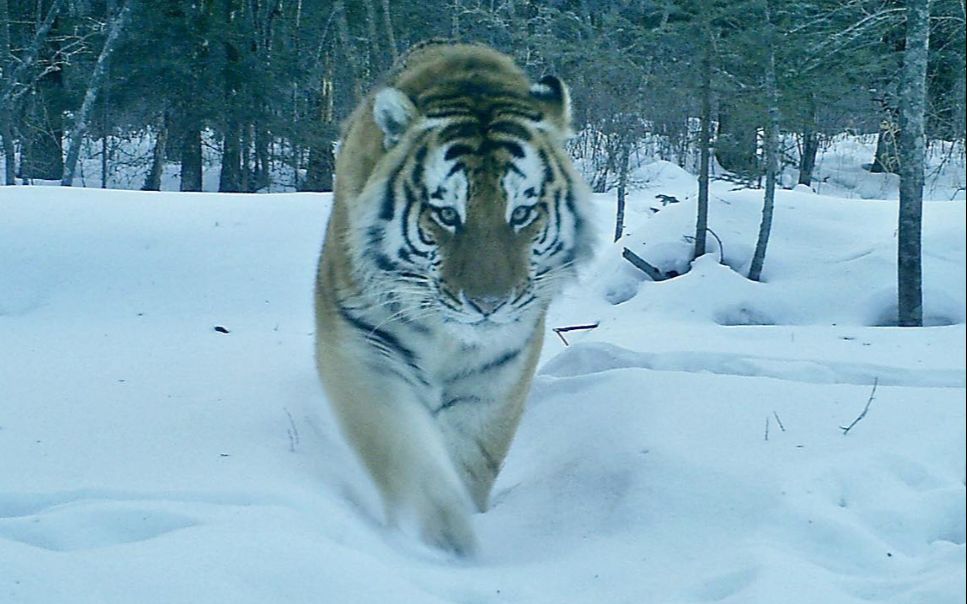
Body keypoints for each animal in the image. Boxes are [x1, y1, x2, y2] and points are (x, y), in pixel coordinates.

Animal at [314, 40, 592, 556]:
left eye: (522, 213)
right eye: (446, 214)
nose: (489, 303)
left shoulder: (500, 367)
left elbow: (471, 454)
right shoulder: (362, 344)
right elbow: (401, 447)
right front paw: (443, 537)